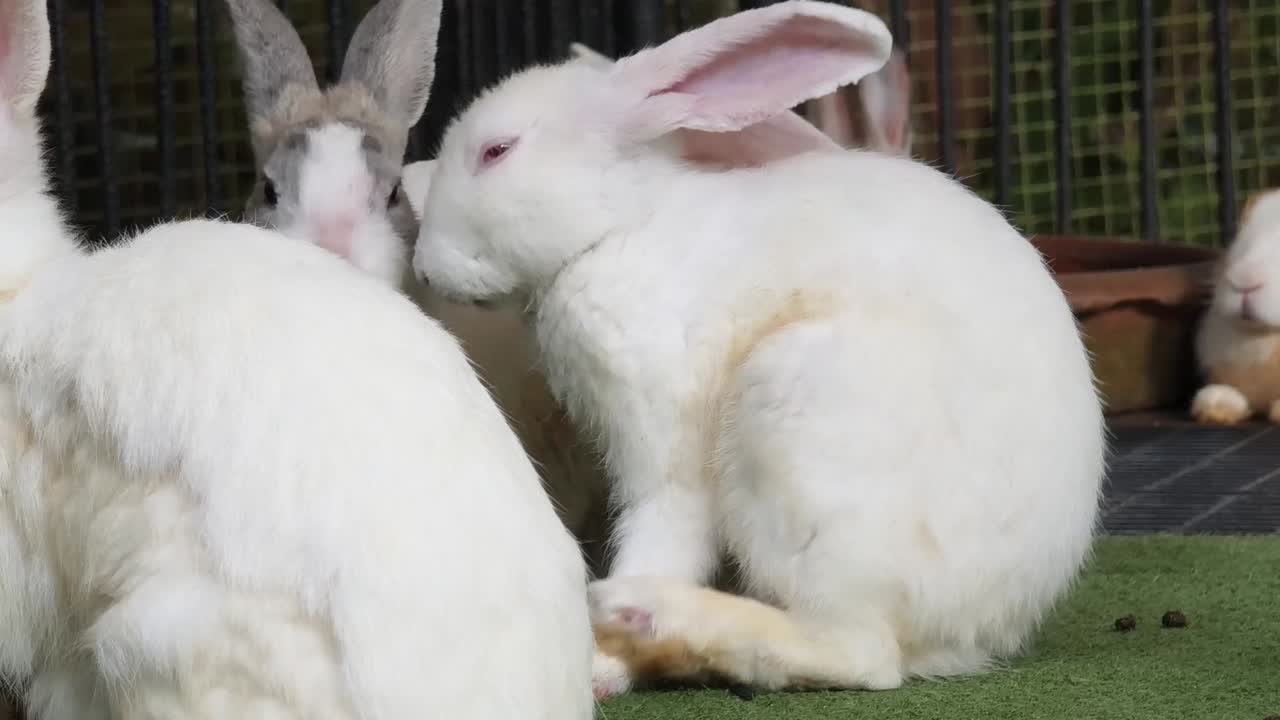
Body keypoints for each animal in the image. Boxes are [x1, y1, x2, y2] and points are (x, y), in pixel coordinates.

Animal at [410, 0, 1105, 699]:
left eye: (496, 151)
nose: (424, 266)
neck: (623, 227)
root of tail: (984, 625)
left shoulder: (664, 439)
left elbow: (665, 529)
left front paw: (600, 665)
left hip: (802, 422)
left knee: (856, 652)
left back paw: (646, 614)